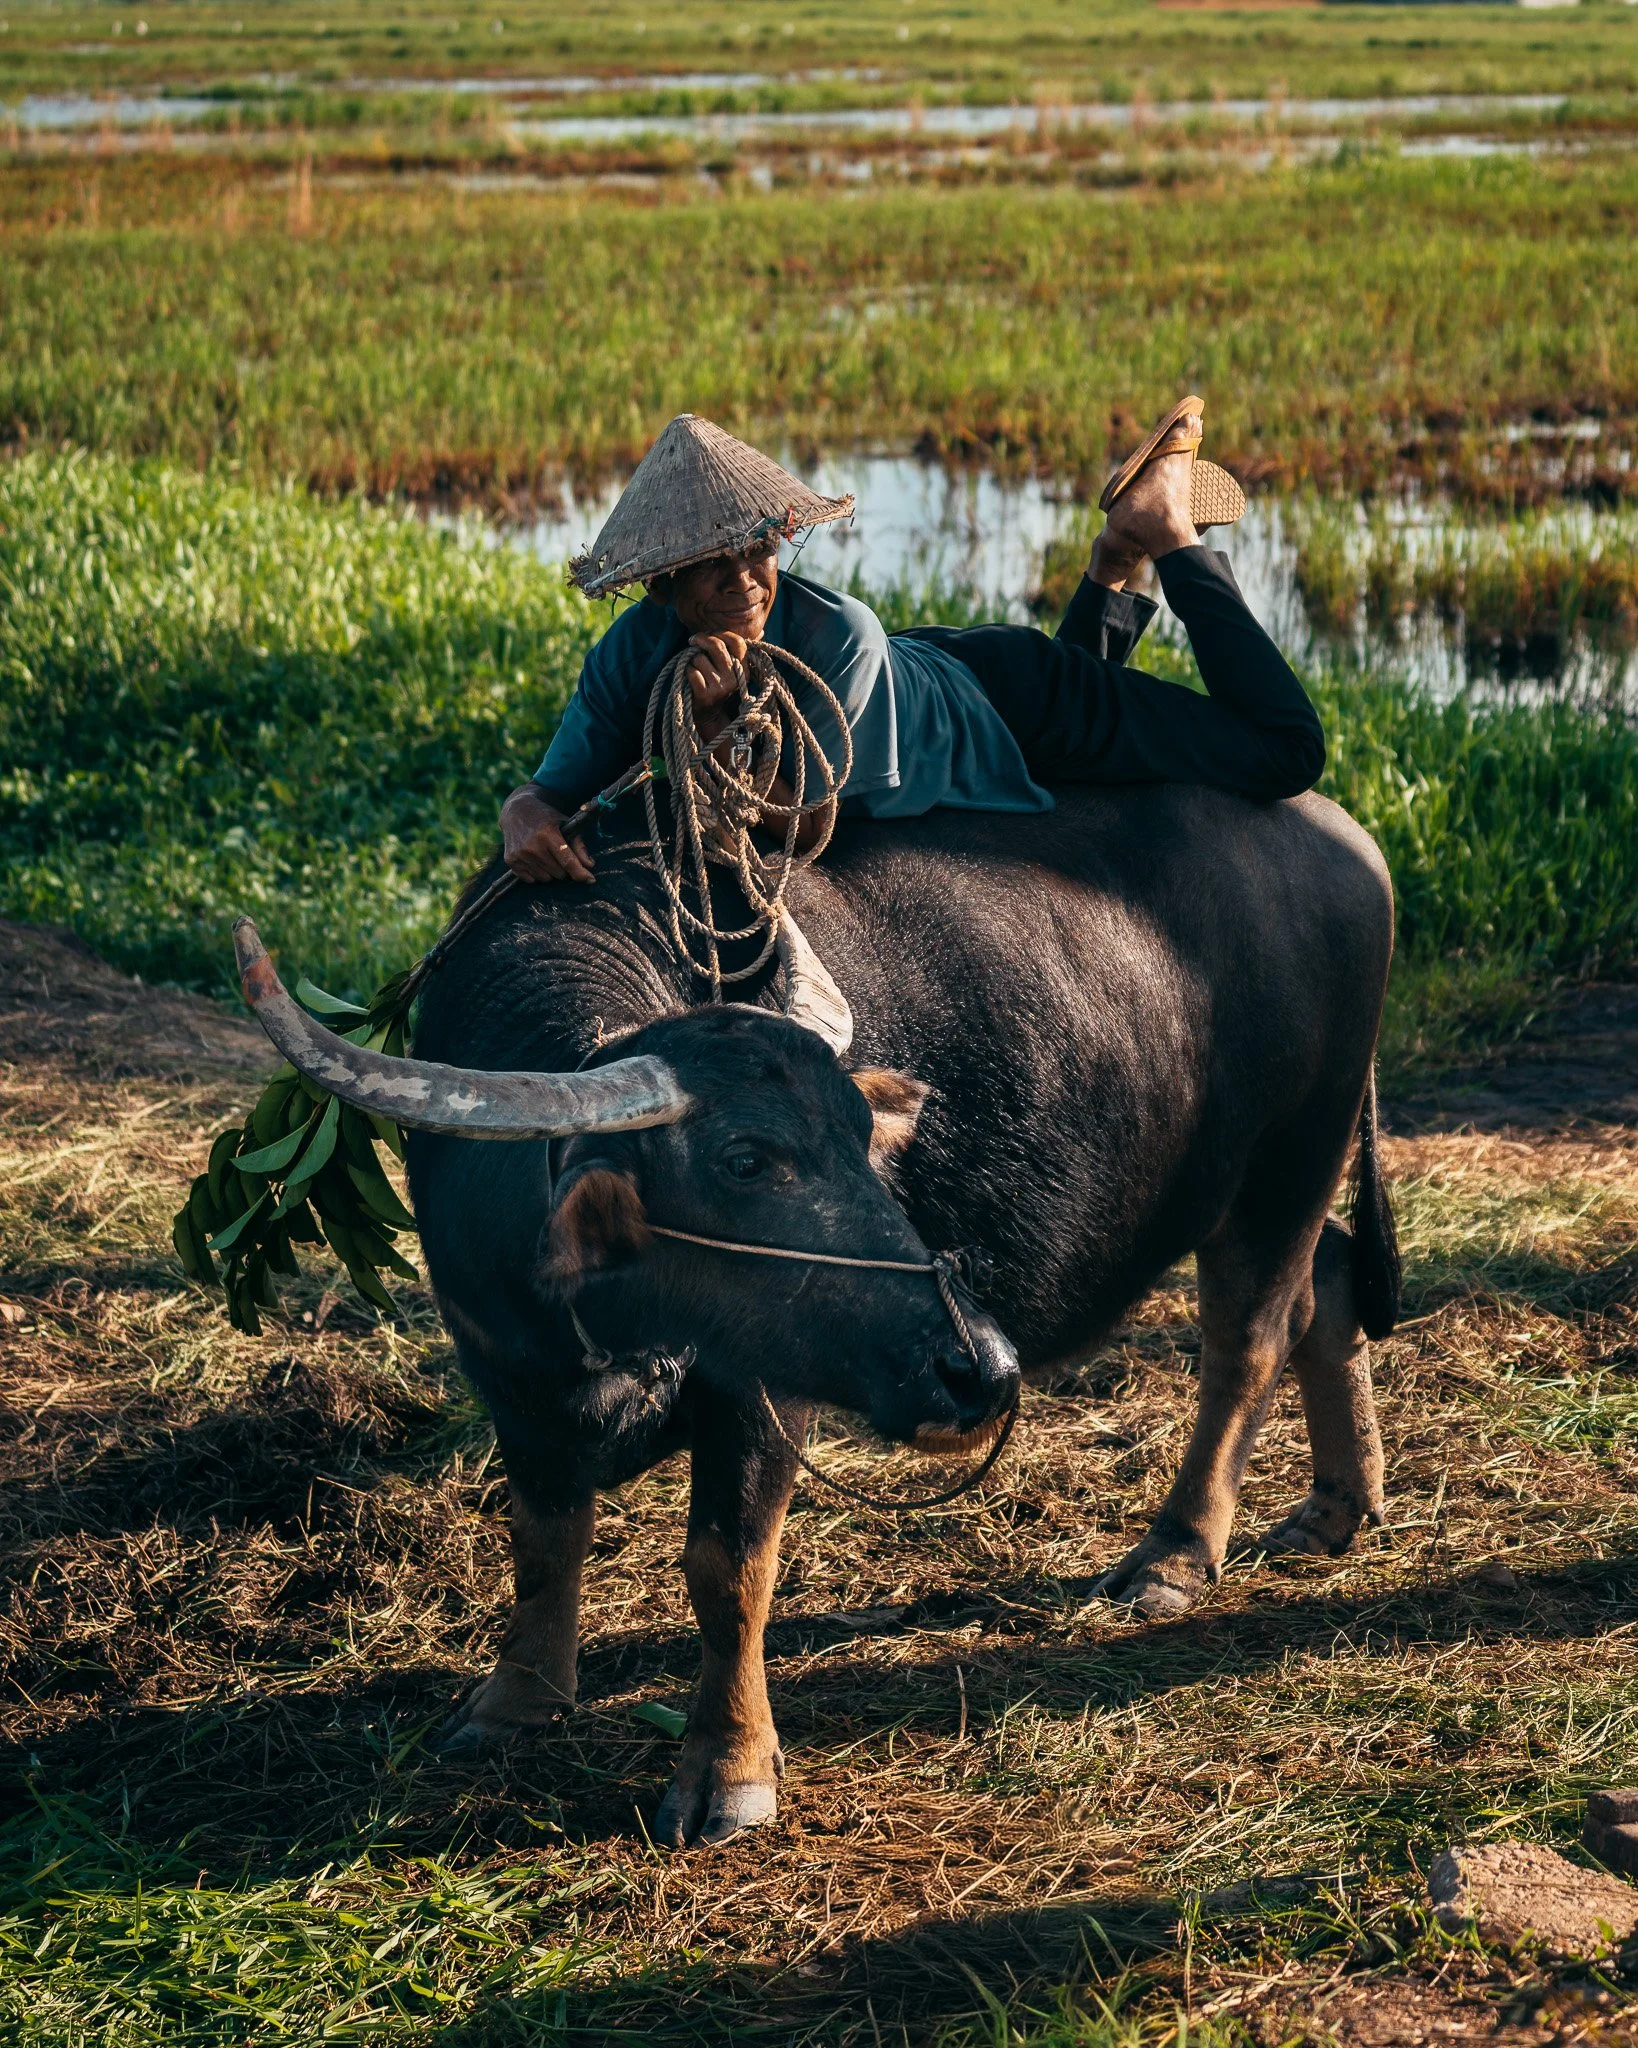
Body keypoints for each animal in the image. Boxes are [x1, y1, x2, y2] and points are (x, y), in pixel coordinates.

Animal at [234, 780, 1399, 1847]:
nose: (980, 1368)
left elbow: (726, 1569)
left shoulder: (760, 1394)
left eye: (860, 1137)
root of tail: (1346, 836)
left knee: (1248, 1339)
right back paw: (1335, 1505)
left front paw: (729, 1770)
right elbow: (542, 1532)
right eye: (745, 1158)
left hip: (1289, 1157)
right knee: (1331, 1283)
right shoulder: (508, 1374)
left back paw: (1173, 1554)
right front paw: (516, 1699)